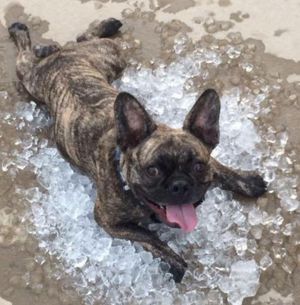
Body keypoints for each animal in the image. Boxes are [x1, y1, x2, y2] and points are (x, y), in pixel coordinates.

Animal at [8, 18, 266, 280]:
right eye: (152, 171)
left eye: (197, 166)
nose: (180, 185)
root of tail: (64, 56)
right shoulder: (109, 222)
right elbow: (149, 236)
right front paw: (174, 261)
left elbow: (220, 168)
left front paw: (246, 180)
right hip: (32, 80)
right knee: (26, 57)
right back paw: (23, 34)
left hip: (111, 57)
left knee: (84, 38)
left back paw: (90, 32)